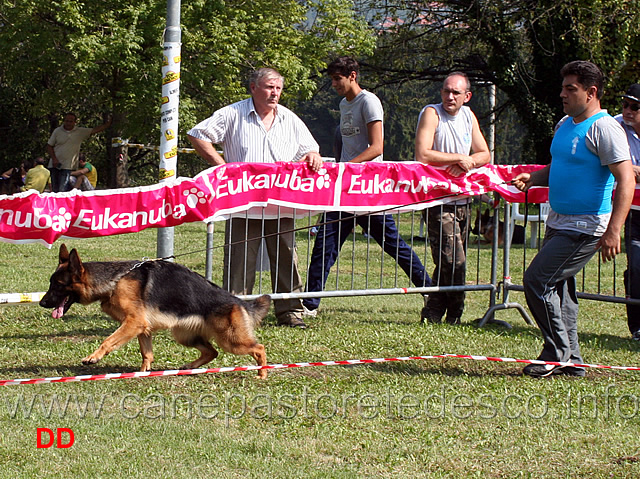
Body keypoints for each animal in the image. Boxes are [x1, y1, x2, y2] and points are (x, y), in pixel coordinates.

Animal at [40, 248, 270, 378]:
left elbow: (107, 341)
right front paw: (142, 374)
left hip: (231, 340)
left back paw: (262, 373)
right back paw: (190, 367)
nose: (42, 302)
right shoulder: (142, 327)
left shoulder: (133, 323)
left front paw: (93, 357)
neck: (115, 281)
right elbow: (147, 353)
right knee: (211, 352)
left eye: (57, 285)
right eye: (51, 283)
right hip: (184, 335)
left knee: (259, 348)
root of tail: (239, 302)